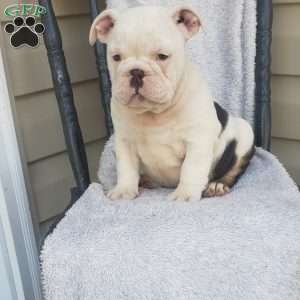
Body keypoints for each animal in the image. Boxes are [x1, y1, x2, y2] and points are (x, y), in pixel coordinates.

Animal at [89, 5, 255, 202]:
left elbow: (191, 168)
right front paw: (124, 190)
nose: (136, 72)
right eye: (116, 57)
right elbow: (126, 168)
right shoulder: (124, 141)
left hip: (245, 135)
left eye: (162, 56)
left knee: (233, 170)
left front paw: (185, 194)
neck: (154, 113)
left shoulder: (198, 139)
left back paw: (217, 186)